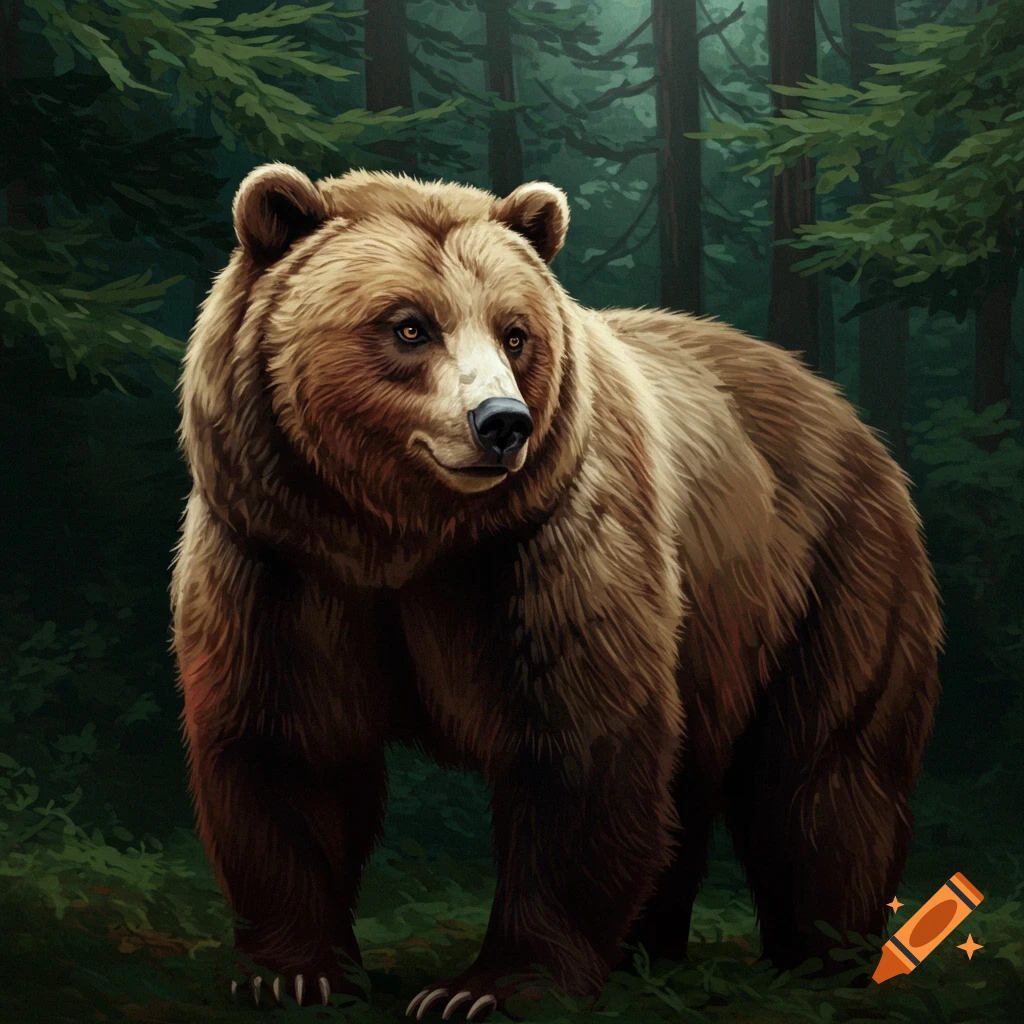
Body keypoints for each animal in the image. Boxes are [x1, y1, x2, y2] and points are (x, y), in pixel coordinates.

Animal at [170, 161, 942, 1019]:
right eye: (410, 326)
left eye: (515, 332)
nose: (502, 421)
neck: (400, 541)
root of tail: (836, 403)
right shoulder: (279, 558)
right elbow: (286, 745)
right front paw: (293, 971)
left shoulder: (546, 551)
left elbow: (580, 749)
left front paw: (486, 988)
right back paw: (650, 951)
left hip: (829, 572)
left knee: (823, 772)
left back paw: (824, 960)